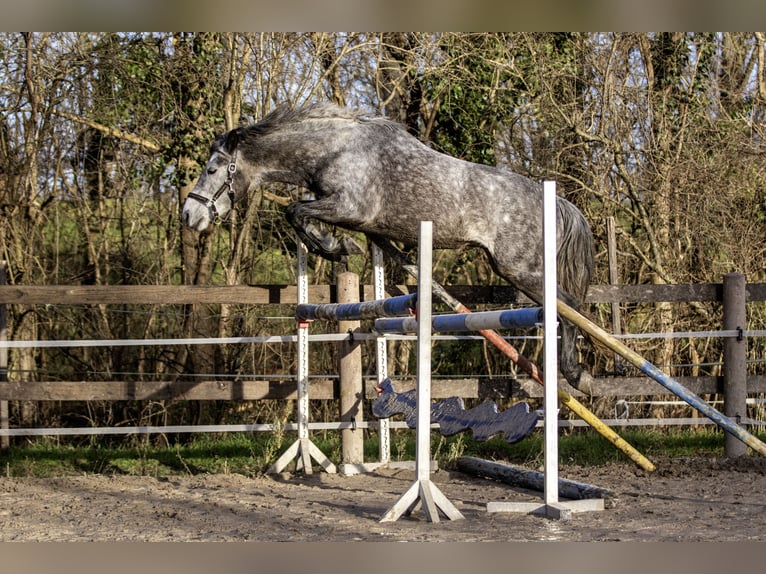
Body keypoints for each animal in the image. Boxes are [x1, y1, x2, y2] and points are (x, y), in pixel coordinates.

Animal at [182, 103, 596, 392]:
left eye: (213, 169)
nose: (188, 215)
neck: (332, 150)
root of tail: (554, 201)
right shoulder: (360, 219)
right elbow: (310, 217)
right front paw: (342, 247)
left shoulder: (349, 207)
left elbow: (296, 211)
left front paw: (336, 247)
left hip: (520, 268)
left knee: (569, 307)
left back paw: (578, 375)